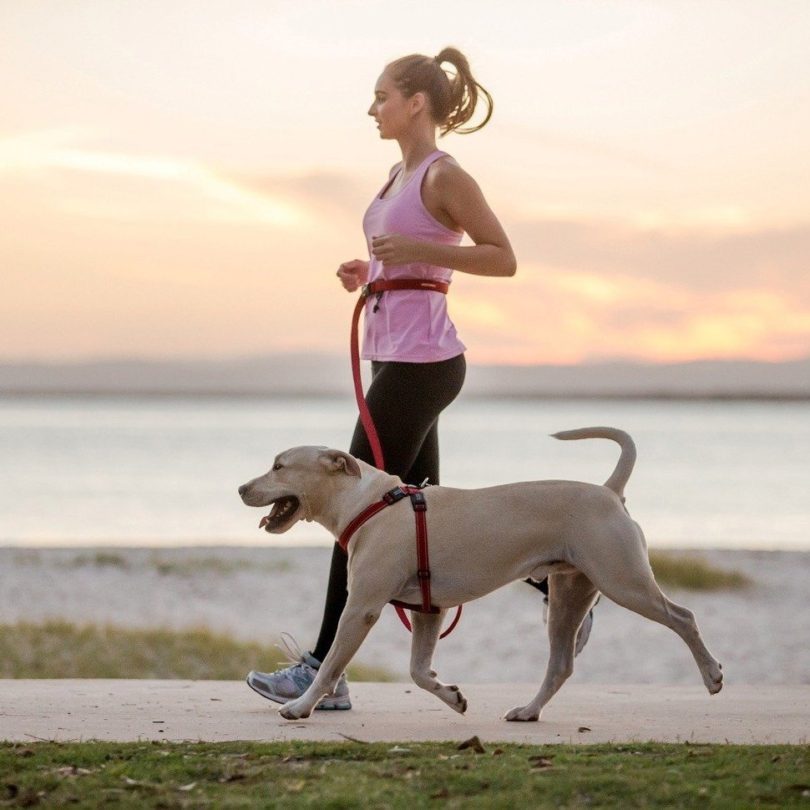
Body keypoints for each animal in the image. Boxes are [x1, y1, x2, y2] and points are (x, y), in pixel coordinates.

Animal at [238, 430, 720, 720]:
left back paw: (712, 675)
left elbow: (331, 665)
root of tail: (608, 492)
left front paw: (299, 707)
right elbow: (418, 671)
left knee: (683, 617)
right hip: (570, 593)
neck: (370, 502)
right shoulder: (429, 610)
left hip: (622, 579)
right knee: (561, 663)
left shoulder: (361, 609)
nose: (241, 488)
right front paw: (452, 696)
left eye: (279, 466)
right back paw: (527, 711)